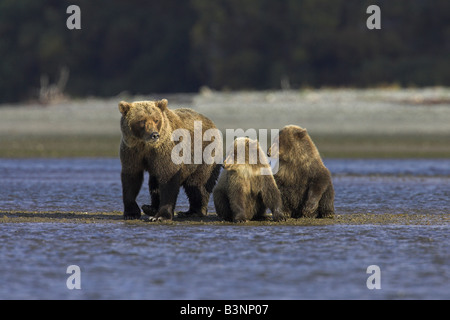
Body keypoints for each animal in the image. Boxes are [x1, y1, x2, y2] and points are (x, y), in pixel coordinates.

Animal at [118, 99, 334, 221]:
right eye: (141, 121)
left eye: (155, 119)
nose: (154, 134)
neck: (146, 147)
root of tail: (209, 120)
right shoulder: (132, 151)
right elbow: (131, 178)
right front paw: (132, 211)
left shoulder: (166, 151)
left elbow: (168, 178)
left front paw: (161, 216)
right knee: (155, 182)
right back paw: (150, 207)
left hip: (204, 154)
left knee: (197, 185)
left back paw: (193, 211)